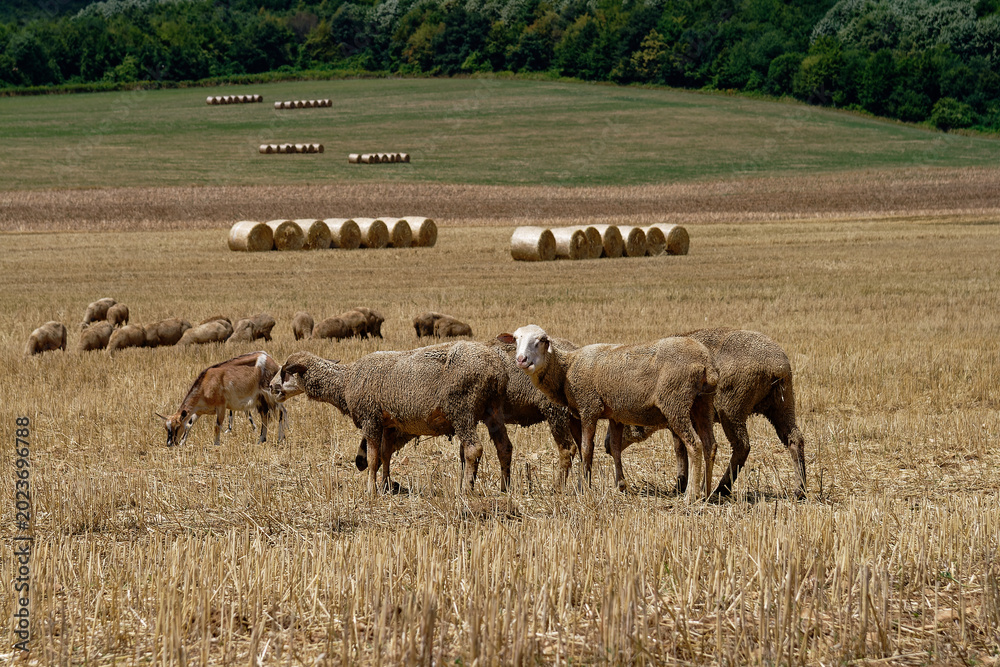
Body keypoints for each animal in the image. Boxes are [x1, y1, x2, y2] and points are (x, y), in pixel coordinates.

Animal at [157, 351, 286, 448]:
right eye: (166, 428)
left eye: (177, 427)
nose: (169, 444)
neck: (206, 385)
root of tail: (273, 363)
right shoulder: (199, 410)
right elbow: (189, 424)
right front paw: (183, 443)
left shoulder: (221, 406)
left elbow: (217, 426)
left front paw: (216, 444)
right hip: (261, 399)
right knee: (265, 416)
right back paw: (261, 439)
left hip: (271, 394)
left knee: (281, 411)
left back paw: (280, 438)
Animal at [270, 344, 514, 494]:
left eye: (286, 372)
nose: (271, 387)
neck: (346, 381)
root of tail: (495, 368)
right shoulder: (389, 425)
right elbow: (385, 456)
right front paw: (386, 485)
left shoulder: (370, 419)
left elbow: (372, 459)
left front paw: (371, 490)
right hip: (493, 410)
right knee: (505, 447)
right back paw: (505, 488)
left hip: (462, 409)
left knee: (474, 449)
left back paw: (466, 490)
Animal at [499, 325, 718, 502]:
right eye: (516, 339)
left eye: (542, 340)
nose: (521, 360)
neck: (566, 368)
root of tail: (705, 362)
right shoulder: (613, 414)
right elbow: (614, 448)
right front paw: (620, 485)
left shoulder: (589, 407)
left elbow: (587, 448)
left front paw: (584, 488)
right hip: (703, 402)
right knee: (710, 445)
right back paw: (706, 493)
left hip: (675, 402)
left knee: (694, 444)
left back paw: (691, 495)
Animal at [605, 328, 807, 499]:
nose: (606, 445)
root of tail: (777, 366)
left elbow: (680, 450)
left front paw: (680, 486)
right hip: (783, 403)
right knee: (795, 438)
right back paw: (800, 490)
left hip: (733, 408)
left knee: (742, 445)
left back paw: (720, 489)